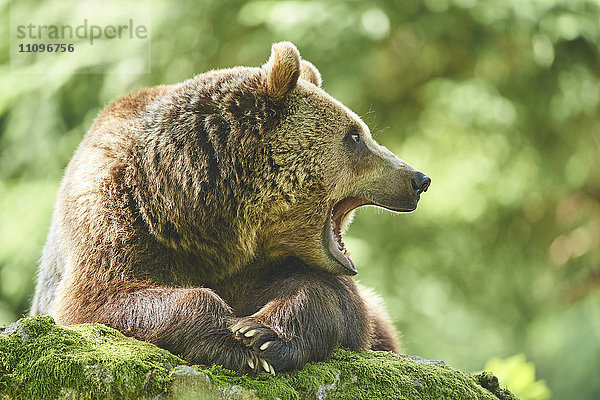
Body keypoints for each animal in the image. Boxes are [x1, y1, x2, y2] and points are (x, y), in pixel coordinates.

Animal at [30, 42, 428, 374]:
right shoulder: (119, 215)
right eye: (355, 136)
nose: (418, 179)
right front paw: (230, 341)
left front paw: (261, 334)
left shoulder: (270, 261)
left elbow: (333, 299)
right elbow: (98, 299)